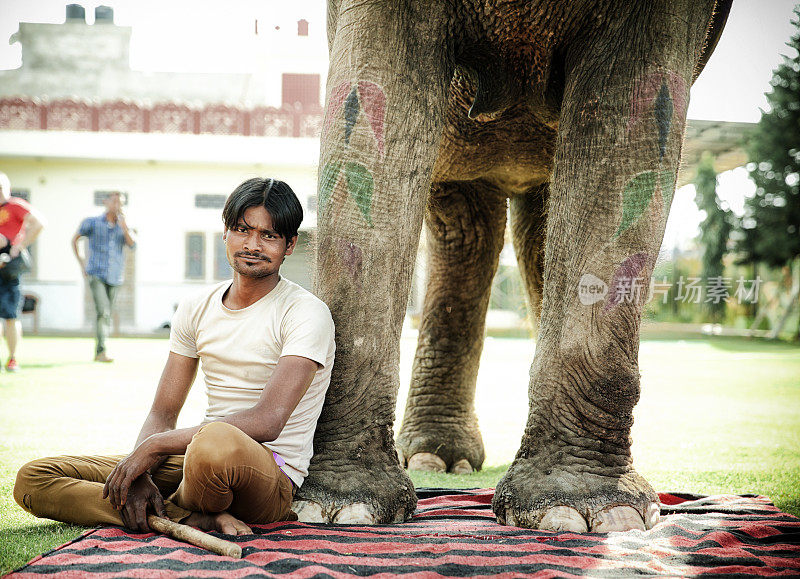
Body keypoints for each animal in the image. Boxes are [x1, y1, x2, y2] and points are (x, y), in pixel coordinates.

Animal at [294, 0, 732, 532]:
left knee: (528, 228)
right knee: (463, 224)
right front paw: (341, 511)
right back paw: (437, 460)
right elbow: (367, 106)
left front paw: (593, 514)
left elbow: (636, 121)